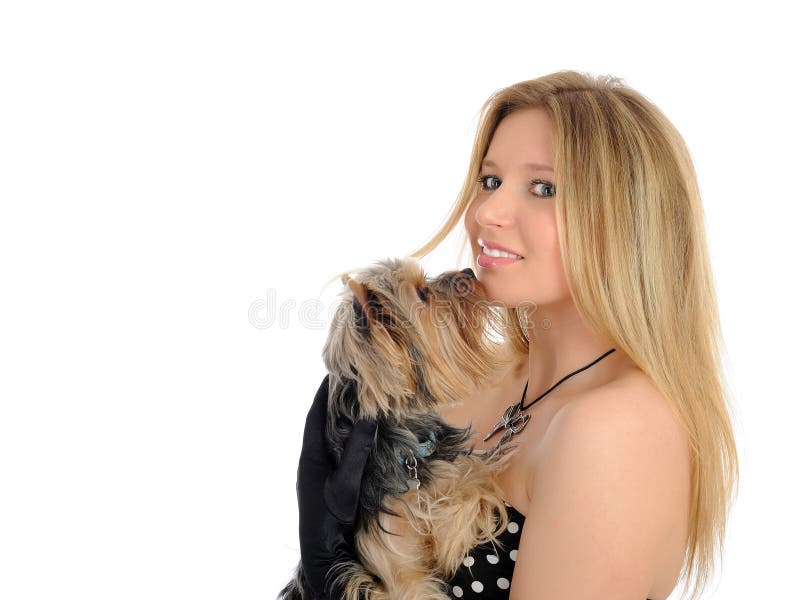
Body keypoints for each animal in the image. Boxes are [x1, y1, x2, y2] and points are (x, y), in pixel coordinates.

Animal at [282, 258, 520, 600]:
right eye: (422, 293)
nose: (467, 272)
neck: (405, 443)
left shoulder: (449, 466)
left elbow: (473, 477)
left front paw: (450, 537)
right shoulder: (396, 572)